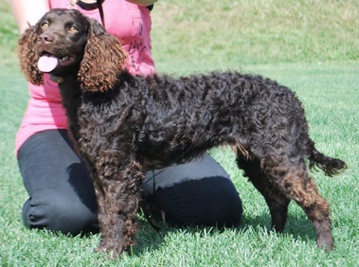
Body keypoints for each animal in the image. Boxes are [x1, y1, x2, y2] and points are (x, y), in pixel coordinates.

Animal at [18, 8, 348, 258]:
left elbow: (118, 215)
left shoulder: (120, 171)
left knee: (315, 202)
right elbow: (106, 215)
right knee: (278, 199)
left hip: (281, 156)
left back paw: (325, 248)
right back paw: (273, 236)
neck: (100, 93)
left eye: (73, 28)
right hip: (257, 160)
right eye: (44, 23)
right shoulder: (99, 170)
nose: (44, 39)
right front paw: (104, 251)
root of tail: (290, 96)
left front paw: (113, 253)